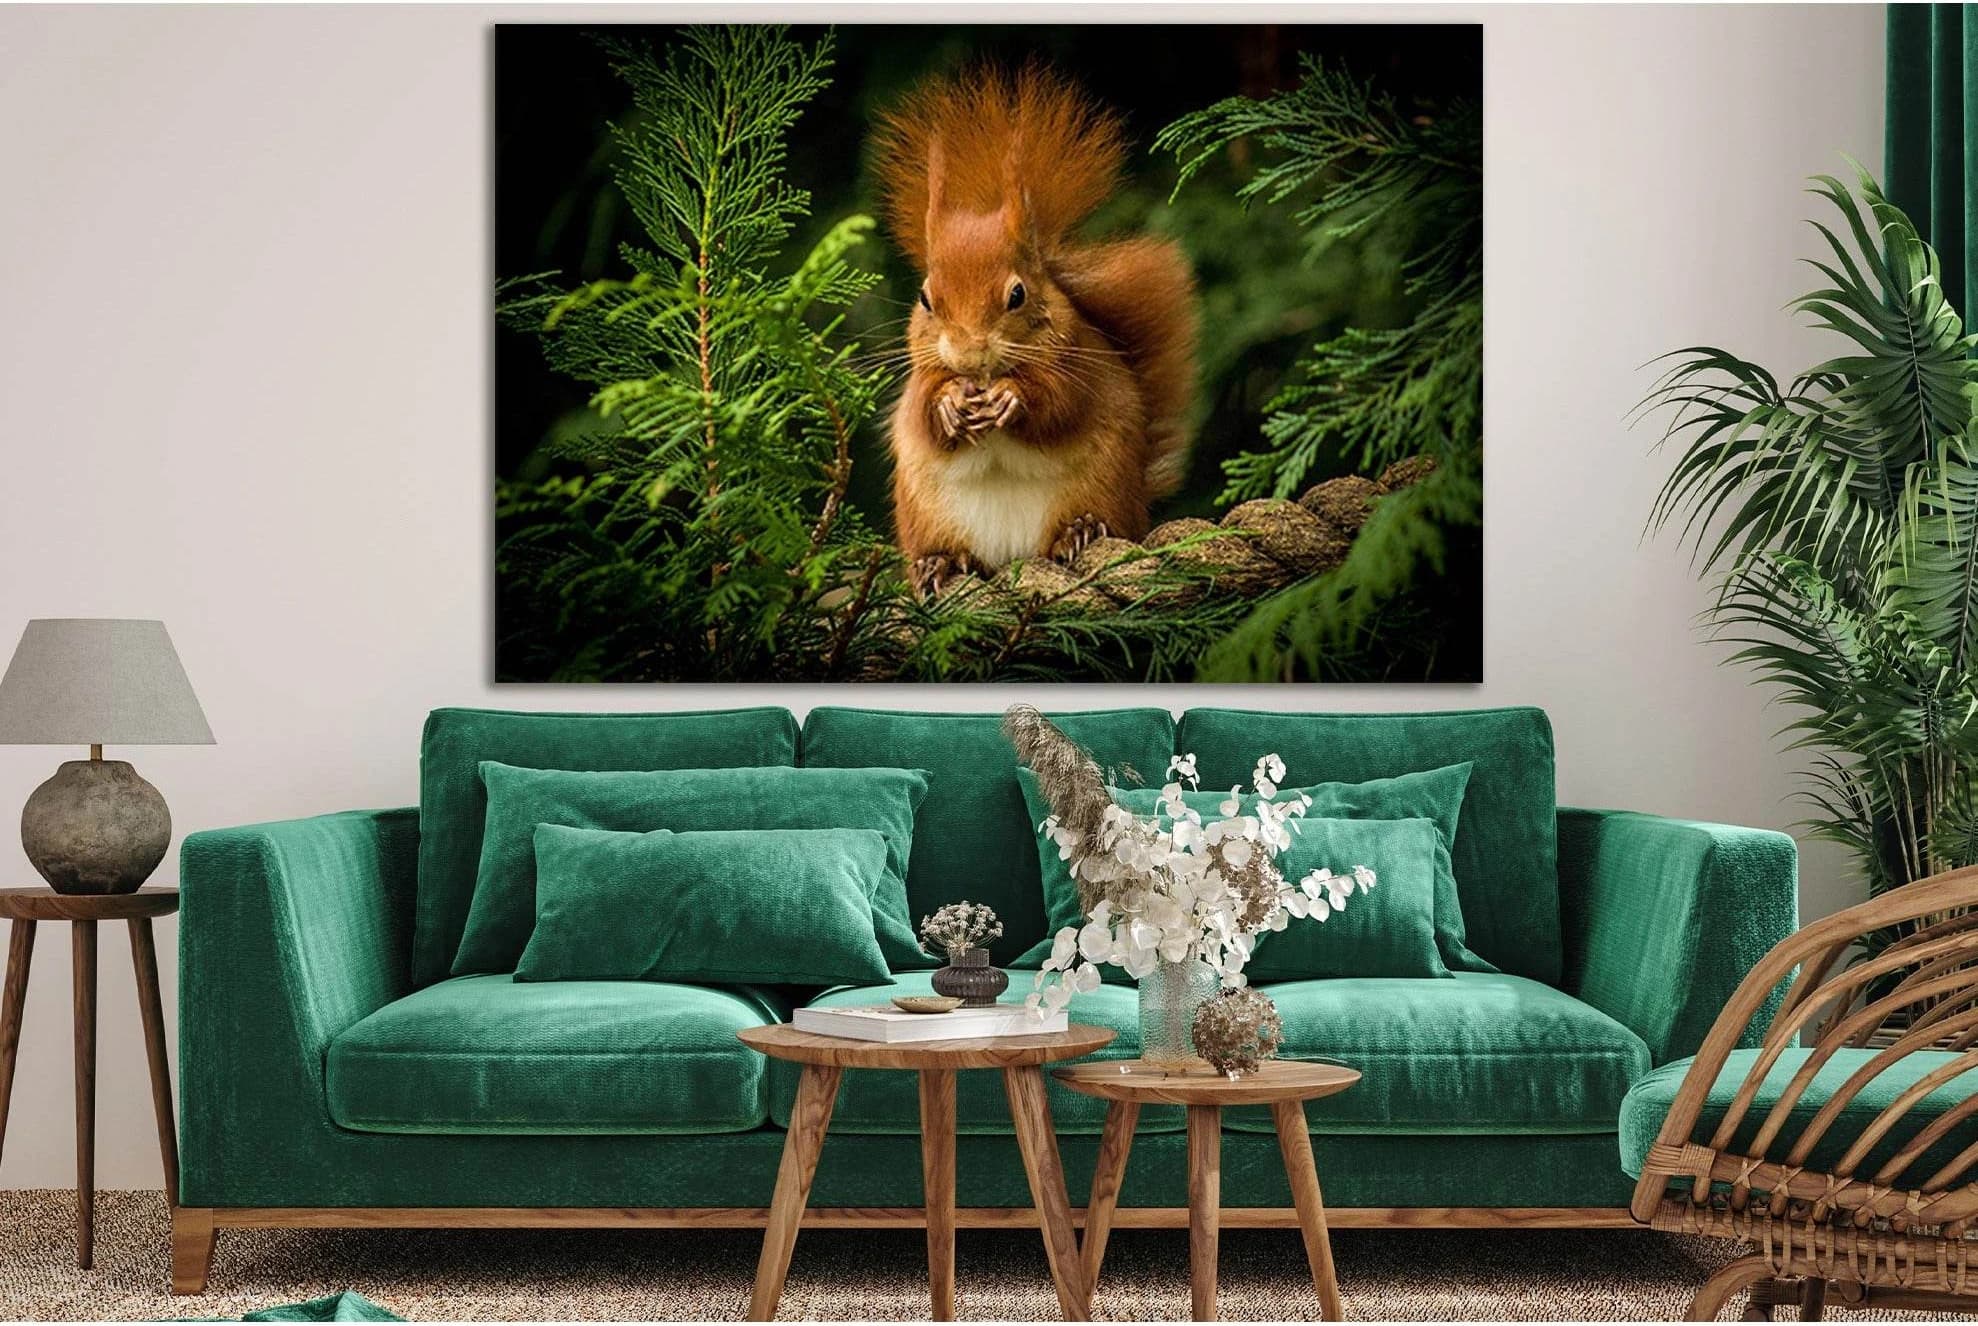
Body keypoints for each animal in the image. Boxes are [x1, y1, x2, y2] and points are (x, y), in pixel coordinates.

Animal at [872, 65, 1199, 594]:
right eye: (925, 299)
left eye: (1017, 295)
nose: (969, 355)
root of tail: (1011, 555)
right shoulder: (922, 374)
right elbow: (922, 413)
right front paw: (949, 404)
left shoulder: (1076, 359)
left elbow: (1060, 404)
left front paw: (1011, 398)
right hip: (925, 513)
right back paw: (937, 563)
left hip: (1102, 486)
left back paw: (1078, 531)